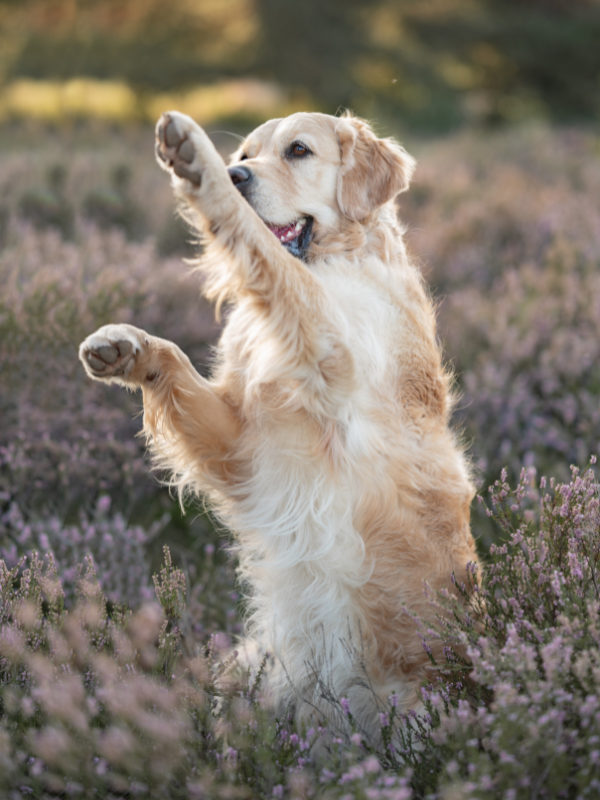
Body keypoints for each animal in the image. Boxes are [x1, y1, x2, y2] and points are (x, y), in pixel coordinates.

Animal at [81, 111, 478, 736]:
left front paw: (200, 170)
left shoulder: (333, 351)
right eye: (245, 153)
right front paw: (127, 345)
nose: (236, 174)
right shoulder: (243, 447)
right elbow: (178, 359)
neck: (336, 257)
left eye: (298, 151)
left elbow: (270, 261)